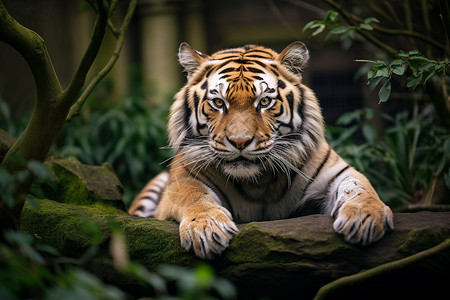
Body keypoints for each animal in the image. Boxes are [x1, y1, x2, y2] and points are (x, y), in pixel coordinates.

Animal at [129, 41, 394, 258]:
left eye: (265, 101)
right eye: (219, 103)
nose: (239, 141)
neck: (257, 182)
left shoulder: (336, 173)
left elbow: (359, 187)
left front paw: (365, 217)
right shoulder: (182, 181)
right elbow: (194, 196)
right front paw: (206, 228)